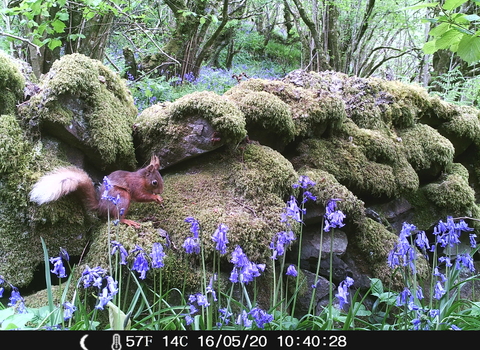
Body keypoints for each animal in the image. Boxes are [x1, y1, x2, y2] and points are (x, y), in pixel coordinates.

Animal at [31, 155, 165, 227]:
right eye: (155, 182)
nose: (161, 191)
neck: (141, 178)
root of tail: (100, 207)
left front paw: (159, 198)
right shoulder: (135, 186)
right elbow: (140, 195)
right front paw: (156, 197)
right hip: (123, 197)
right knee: (117, 218)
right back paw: (128, 221)